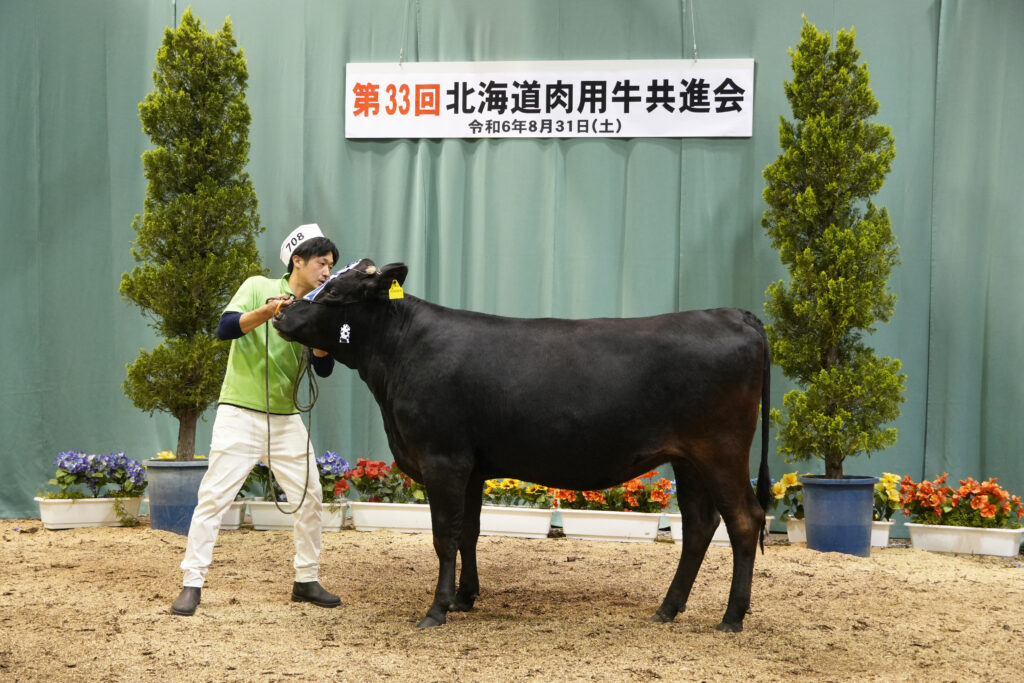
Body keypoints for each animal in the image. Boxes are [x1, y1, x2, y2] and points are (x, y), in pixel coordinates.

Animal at [272, 259, 770, 634]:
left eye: (333, 295)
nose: (280, 313)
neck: (398, 356)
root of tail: (733, 314)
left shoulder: (442, 459)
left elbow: (444, 535)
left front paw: (437, 609)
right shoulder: (471, 468)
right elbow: (469, 532)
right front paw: (465, 597)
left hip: (721, 450)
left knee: (744, 521)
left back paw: (731, 617)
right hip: (689, 460)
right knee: (701, 526)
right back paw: (668, 608)